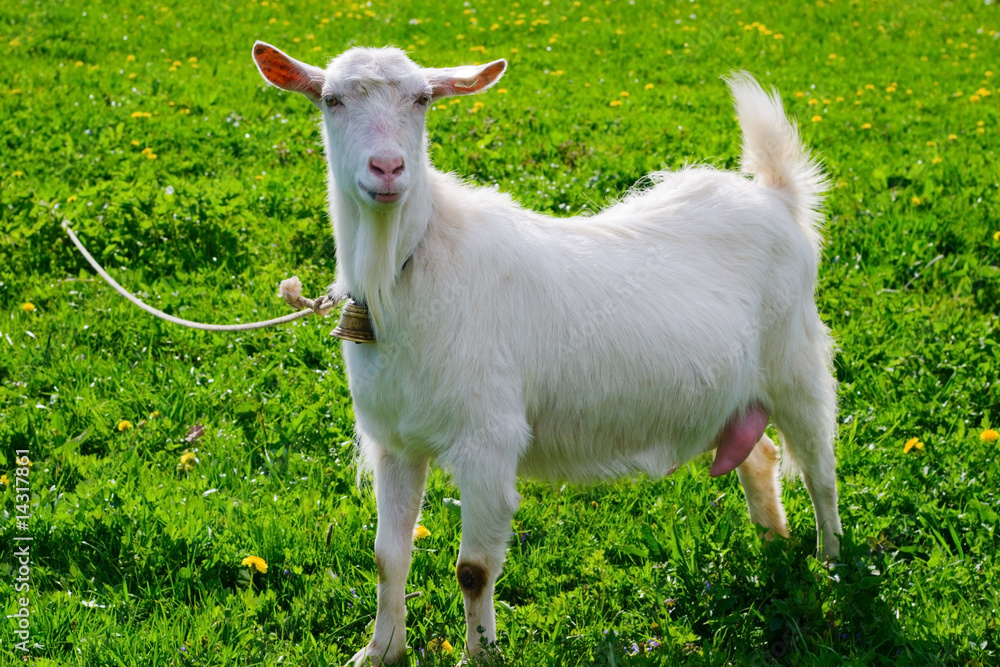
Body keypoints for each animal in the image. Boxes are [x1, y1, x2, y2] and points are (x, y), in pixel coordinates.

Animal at [253, 42, 842, 665]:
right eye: (331, 100)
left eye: (422, 100)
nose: (387, 169)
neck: (404, 270)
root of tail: (776, 196)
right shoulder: (395, 443)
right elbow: (388, 556)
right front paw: (380, 650)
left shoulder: (489, 440)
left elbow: (473, 570)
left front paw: (479, 654)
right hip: (730, 396)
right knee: (759, 454)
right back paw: (772, 544)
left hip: (796, 363)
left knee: (820, 468)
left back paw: (832, 563)